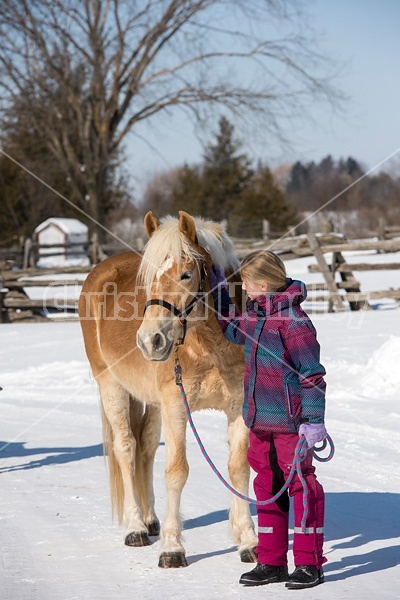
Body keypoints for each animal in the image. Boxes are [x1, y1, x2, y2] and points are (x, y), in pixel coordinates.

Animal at [79, 211, 256, 568]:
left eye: (186, 274)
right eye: (148, 280)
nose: (150, 341)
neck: (210, 345)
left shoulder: (238, 406)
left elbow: (238, 469)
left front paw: (247, 540)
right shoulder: (176, 405)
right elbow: (176, 471)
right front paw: (172, 549)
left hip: (151, 402)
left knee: (146, 448)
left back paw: (150, 520)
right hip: (112, 387)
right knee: (126, 449)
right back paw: (135, 527)